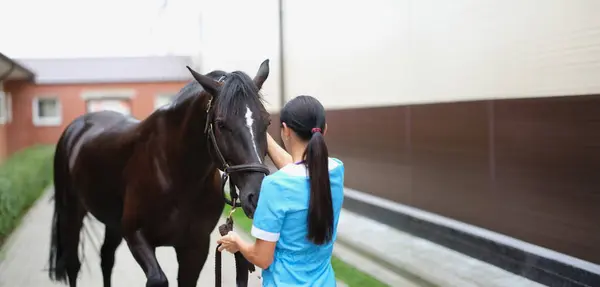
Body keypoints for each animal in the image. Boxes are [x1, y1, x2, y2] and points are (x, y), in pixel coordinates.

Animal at [48, 59, 272, 286]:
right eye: (220, 123)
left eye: (267, 121)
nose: (258, 197)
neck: (177, 174)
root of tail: (76, 128)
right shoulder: (135, 234)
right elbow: (158, 279)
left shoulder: (195, 246)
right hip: (71, 213)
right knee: (73, 264)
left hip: (113, 223)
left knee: (106, 258)